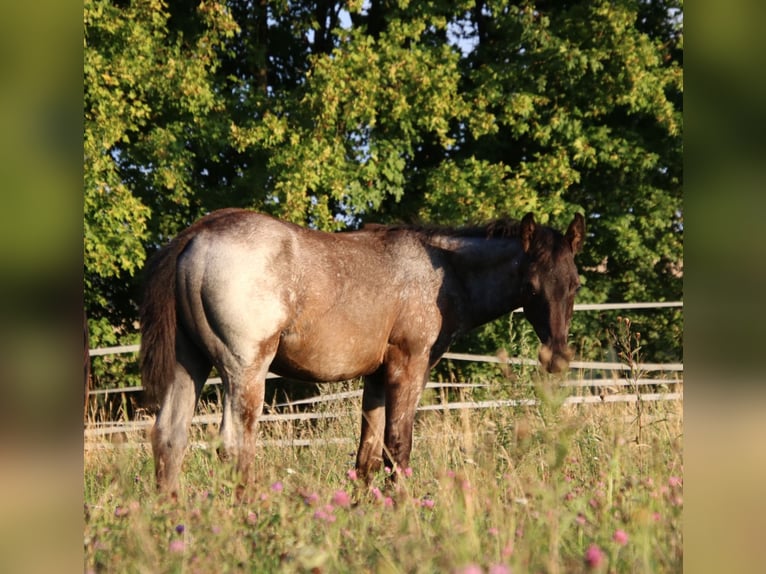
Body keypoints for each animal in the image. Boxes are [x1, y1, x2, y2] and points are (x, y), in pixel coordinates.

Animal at [140, 208, 585, 494]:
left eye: (575, 283)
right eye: (532, 287)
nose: (557, 357)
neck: (444, 271)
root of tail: (194, 238)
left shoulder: (376, 376)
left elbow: (367, 455)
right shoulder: (409, 366)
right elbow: (398, 448)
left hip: (189, 363)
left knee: (169, 437)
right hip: (245, 370)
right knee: (234, 445)